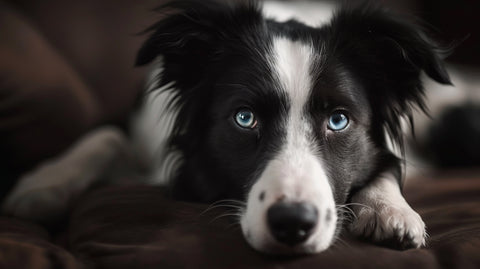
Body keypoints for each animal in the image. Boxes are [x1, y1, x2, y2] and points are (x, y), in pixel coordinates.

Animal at [3, 0, 452, 254]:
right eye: (244, 118)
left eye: (338, 120)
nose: (292, 223)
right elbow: (107, 135)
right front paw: (43, 186)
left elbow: (386, 165)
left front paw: (390, 209)